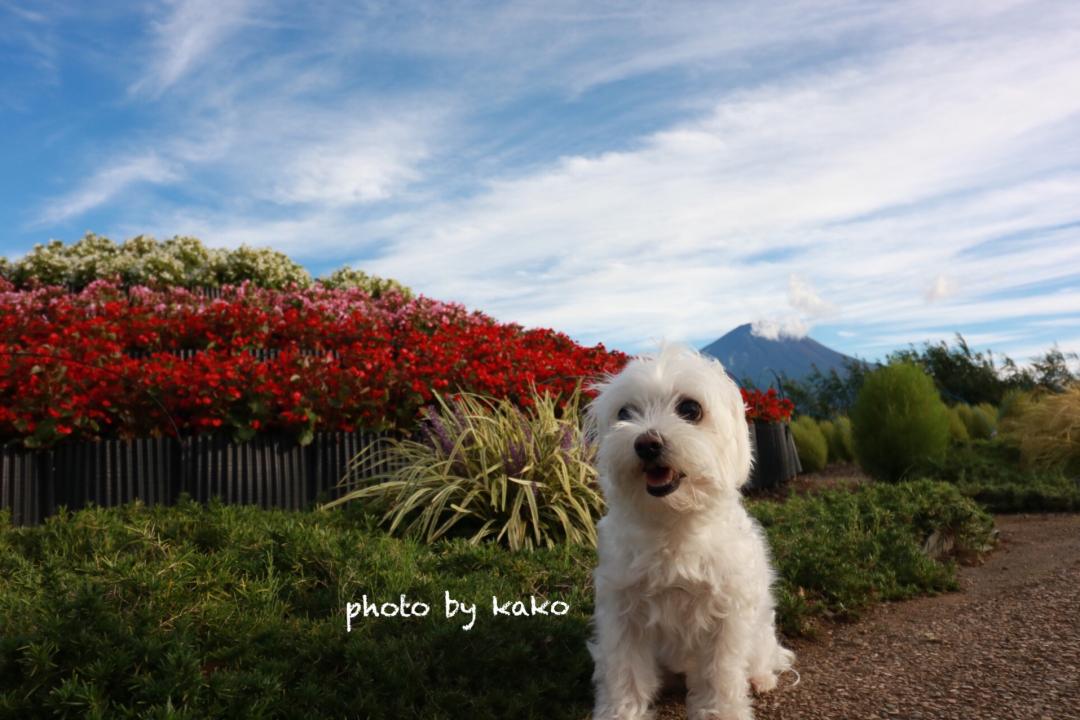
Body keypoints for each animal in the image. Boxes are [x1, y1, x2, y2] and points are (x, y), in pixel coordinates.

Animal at [591, 345, 794, 716]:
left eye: (690, 409)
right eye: (624, 412)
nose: (646, 444)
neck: (673, 521)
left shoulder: (725, 615)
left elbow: (721, 674)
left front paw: (723, 713)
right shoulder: (623, 613)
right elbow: (624, 672)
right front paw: (621, 713)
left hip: (759, 632)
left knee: (761, 657)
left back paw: (761, 679)